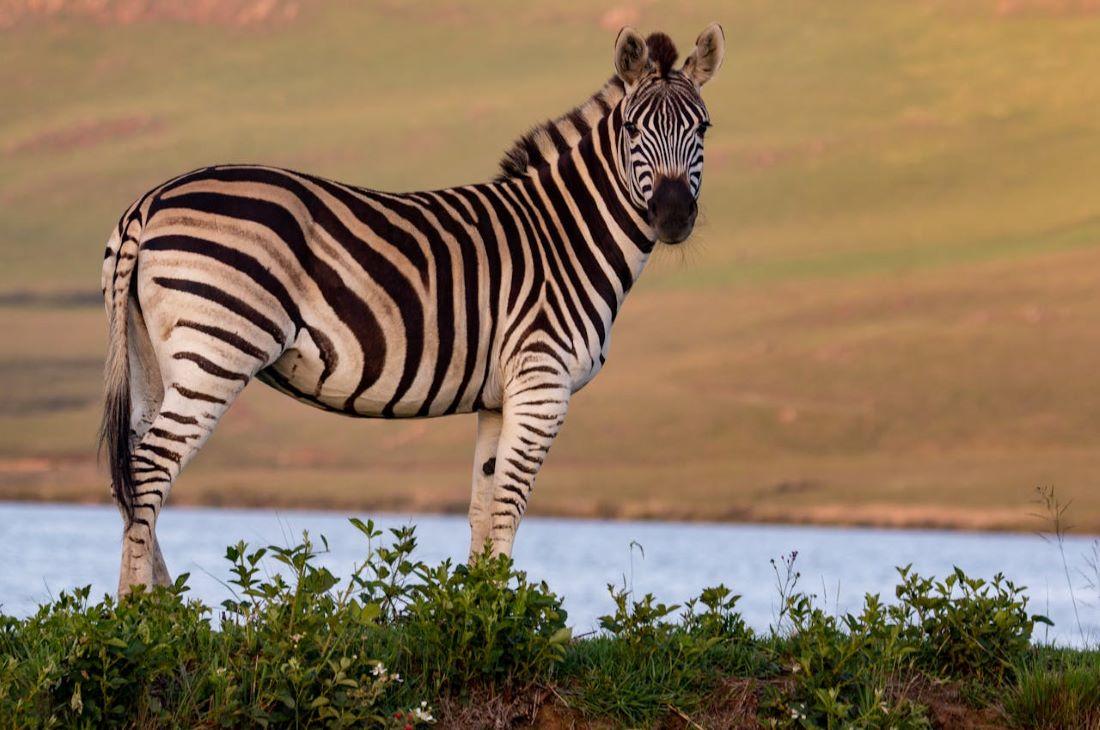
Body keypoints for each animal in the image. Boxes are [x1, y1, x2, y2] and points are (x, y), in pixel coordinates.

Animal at [100, 24, 725, 594]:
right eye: (632, 128)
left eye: (703, 127)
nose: (673, 215)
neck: (565, 235)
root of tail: (150, 200)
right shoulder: (542, 383)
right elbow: (508, 508)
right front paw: (506, 618)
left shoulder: (498, 398)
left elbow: (482, 509)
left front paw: (477, 611)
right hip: (218, 349)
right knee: (149, 468)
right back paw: (140, 611)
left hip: (153, 356)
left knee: (130, 469)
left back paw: (168, 609)